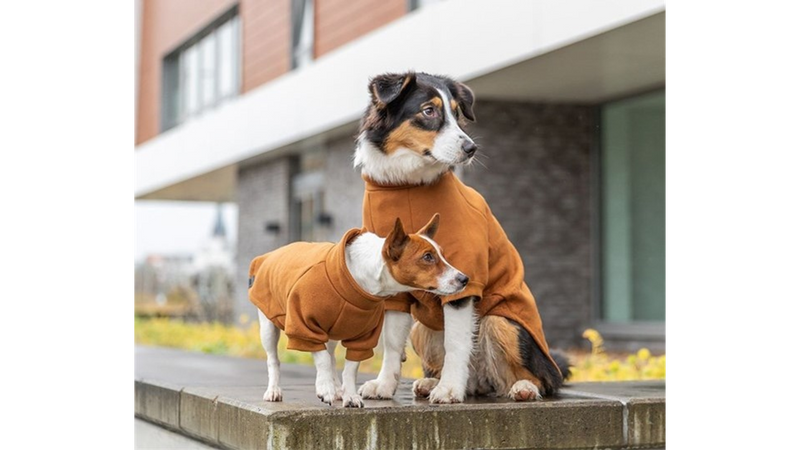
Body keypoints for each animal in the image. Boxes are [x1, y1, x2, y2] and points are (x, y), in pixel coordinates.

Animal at [247, 214, 466, 408]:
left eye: (443, 255)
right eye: (427, 257)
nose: (465, 279)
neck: (357, 277)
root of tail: (266, 256)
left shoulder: (362, 337)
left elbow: (349, 369)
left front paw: (349, 395)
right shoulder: (304, 327)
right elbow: (322, 360)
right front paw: (325, 388)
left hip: (333, 332)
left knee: (331, 355)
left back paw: (337, 389)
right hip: (268, 327)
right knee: (274, 360)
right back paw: (274, 391)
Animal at [356, 71, 568, 404]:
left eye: (457, 114)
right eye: (429, 111)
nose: (471, 149)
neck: (406, 185)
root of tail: (483, 382)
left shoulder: (463, 279)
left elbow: (456, 344)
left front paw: (449, 390)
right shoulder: (393, 282)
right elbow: (390, 342)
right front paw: (385, 386)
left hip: (503, 322)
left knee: (543, 380)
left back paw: (522, 387)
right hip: (421, 328)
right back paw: (433, 382)